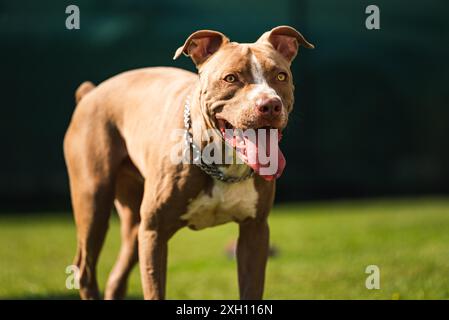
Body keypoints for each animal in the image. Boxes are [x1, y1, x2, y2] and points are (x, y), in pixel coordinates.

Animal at [64, 26, 312, 298]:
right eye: (231, 78)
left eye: (280, 76)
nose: (270, 105)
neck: (222, 163)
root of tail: (91, 92)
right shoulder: (154, 232)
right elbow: (154, 289)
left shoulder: (254, 231)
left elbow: (251, 289)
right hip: (93, 201)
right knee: (85, 269)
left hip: (133, 223)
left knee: (117, 274)